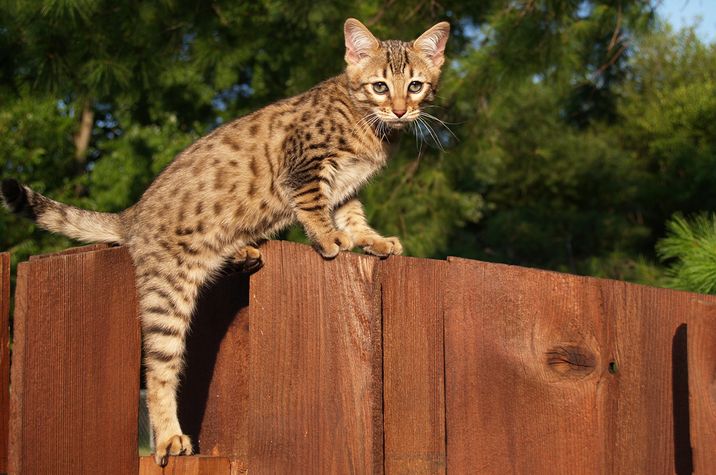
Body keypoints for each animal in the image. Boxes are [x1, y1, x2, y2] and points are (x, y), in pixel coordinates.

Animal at [0, 17, 450, 464]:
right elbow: (315, 206)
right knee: (159, 370)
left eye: (415, 85)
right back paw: (169, 437)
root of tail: (133, 214)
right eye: (380, 86)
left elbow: (352, 214)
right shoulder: (303, 167)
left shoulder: (345, 186)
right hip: (167, 295)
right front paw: (328, 239)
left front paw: (373, 240)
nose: (399, 110)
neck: (371, 126)